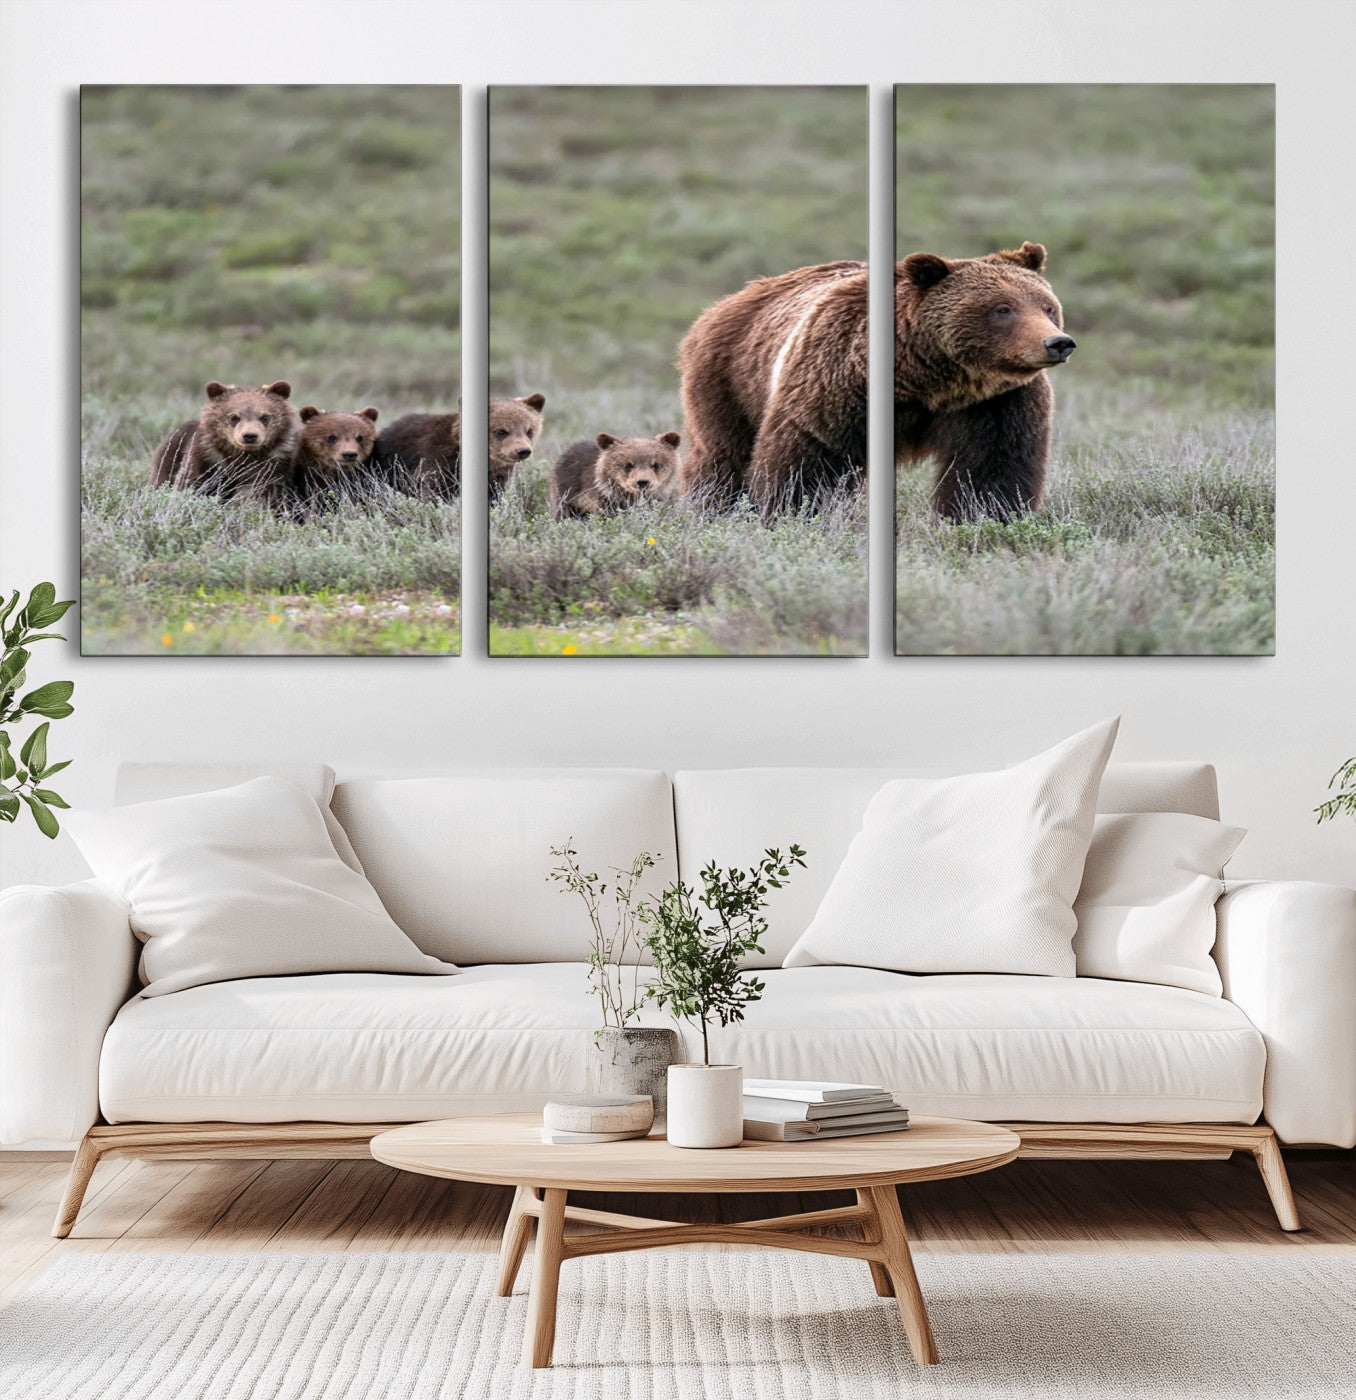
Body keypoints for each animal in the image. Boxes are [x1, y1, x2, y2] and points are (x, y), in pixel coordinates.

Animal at [150, 380, 300, 506]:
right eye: (234, 417)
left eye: (264, 416)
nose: (250, 436)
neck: (242, 455)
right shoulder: (207, 457)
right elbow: (191, 483)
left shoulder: (273, 464)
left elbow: (264, 491)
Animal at [374, 394, 546, 500]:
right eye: (501, 431)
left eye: (530, 431)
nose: (523, 451)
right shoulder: (438, 462)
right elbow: (433, 492)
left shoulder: (498, 478)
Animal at [894, 241, 1075, 520]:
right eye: (1003, 309)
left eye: (1049, 308)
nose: (1059, 343)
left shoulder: (998, 402)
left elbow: (993, 468)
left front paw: (985, 514)